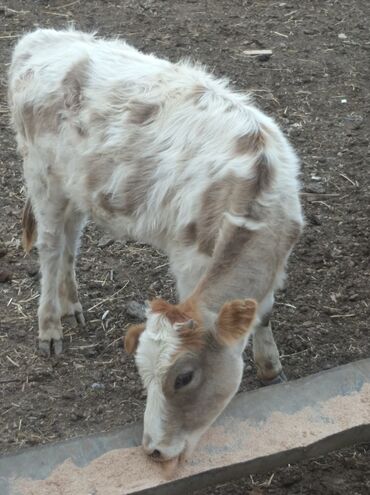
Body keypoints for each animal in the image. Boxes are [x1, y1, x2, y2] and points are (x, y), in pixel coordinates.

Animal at [8, 29, 304, 464]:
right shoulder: (189, 261)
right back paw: (49, 327)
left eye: (184, 377)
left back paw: (72, 305)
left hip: (76, 186)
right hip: (41, 174)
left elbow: (262, 313)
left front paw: (271, 368)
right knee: (49, 246)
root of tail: (40, 36)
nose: (153, 449)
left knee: (69, 241)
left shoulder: (277, 258)